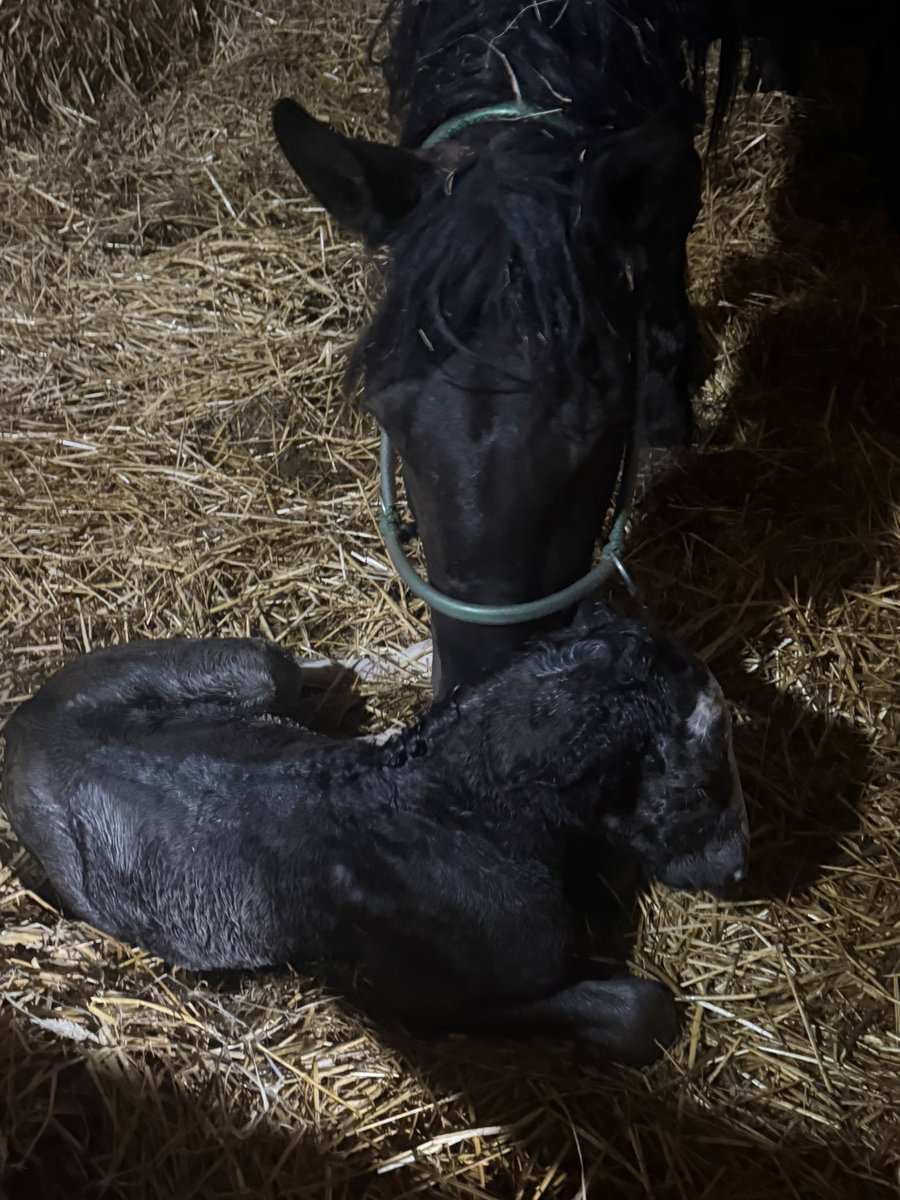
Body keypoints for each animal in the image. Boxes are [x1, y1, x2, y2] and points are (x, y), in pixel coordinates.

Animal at [1, 602, 748, 1066]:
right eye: (705, 774)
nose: (739, 868)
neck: (455, 806)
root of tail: (27, 721)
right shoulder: (430, 1001)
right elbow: (639, 1013)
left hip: (251, 667)